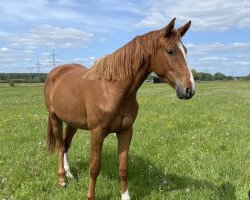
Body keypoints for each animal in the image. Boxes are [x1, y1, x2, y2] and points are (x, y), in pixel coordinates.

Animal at [44, 18, 194, 199]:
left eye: (185, 51)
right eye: (170, 51)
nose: (189, 90)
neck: (113, 89)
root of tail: (55, 71)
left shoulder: (125, 131)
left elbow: (123, 167)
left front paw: (125, 196)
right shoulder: (97, 133)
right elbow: (94, 167)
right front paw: (90, 196)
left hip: (72, 122)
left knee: (66, 144)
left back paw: (69, 174)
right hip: (55, 118)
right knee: (60, 146)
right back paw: (62, 180)